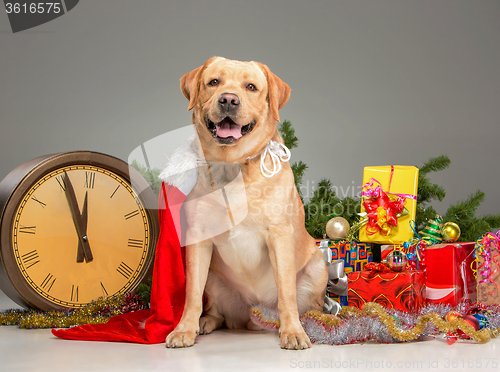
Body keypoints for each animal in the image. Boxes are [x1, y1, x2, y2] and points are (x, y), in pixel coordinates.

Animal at [165, 57, 328, 348]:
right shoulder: (198, 239)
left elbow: (286, 293)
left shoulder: (279, 235)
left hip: (319, 264)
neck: (232, 166)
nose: (228, 100)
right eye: (214, 82)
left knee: (309, 305)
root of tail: (256, 314)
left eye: (250, 87)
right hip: (215, 278)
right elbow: (192, 294)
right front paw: (184, 328)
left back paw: (314, 322)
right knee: (216, 310)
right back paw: (206, 322)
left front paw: (293, 331)